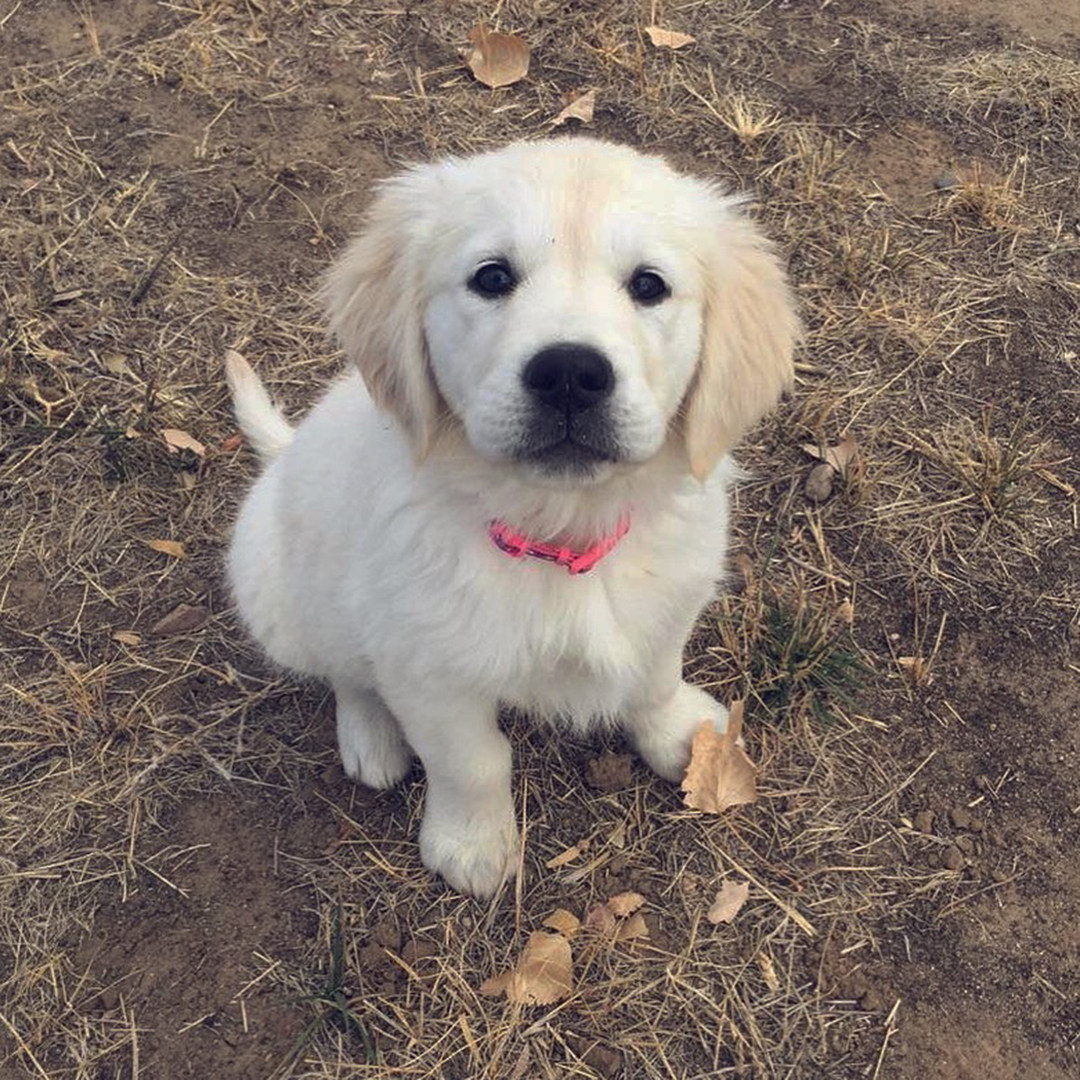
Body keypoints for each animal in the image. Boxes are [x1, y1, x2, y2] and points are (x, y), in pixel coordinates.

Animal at [227, 139, 799, 898]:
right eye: (492, 277)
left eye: (649, 286)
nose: (570, 373)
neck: (558, 531)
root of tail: (283, 456)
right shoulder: (427, 665)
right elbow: (472, 759)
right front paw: (471, 843)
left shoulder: (670, 602)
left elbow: (653, 677)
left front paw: (681, 735)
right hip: (277, 590)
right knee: (344, 670)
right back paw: (370, 737)